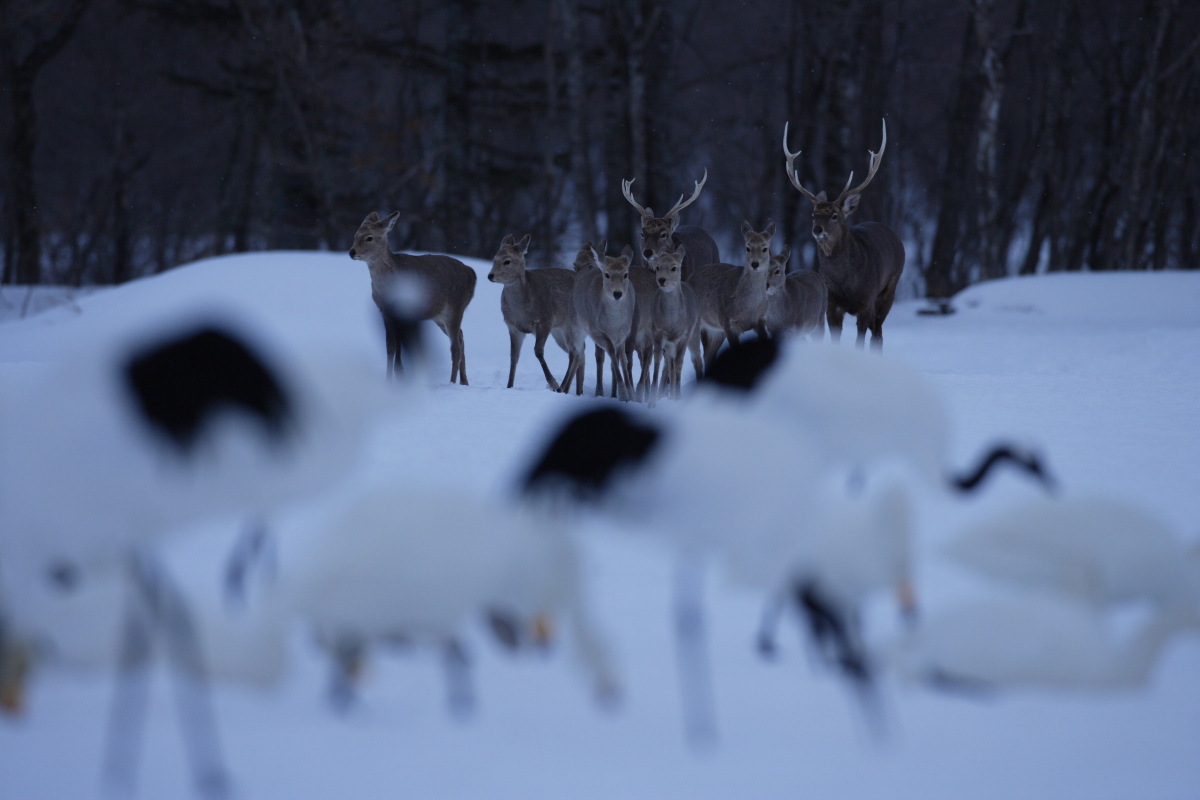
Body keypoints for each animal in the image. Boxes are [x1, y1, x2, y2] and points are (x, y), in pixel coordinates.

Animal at [350, 211, 475, 383]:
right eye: (355, 235)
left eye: (369, 237)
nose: (352, 252)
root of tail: (471, 274)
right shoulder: (384, 311)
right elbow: (390, 346)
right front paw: (388, 379)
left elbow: (400, 345)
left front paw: (400, 375)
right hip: (438, 316)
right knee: (461, 336)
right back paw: (464, 381)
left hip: (455, 307)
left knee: (455, 345)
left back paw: (452, 381)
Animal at [648, 245, 700, 398]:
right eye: (658, 267)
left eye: (674, 267)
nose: (661, 280)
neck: (671, 322)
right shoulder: (656, 332)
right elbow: (658, 359)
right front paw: (653, 396)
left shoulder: (684, 335)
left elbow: (679, 362)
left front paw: (678, 396)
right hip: (670, 344)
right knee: (668, 364)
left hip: (695, 331)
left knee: (696, 359)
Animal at [686, 221, 777, 367]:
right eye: (747, 247)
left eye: (765, 248)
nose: (755, 263)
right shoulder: (729, 323)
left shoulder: (761, 320)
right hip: (692, 325)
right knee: (693, 357)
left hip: (716, 330)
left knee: (708, 355)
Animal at [782, 119, 902, 350]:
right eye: (813, 215)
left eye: (835, 215)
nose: (817, 230)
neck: (847, 284)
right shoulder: (832, 306)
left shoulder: (866, 303)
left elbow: (860, 342)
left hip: (889, 288)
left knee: (878, 335)